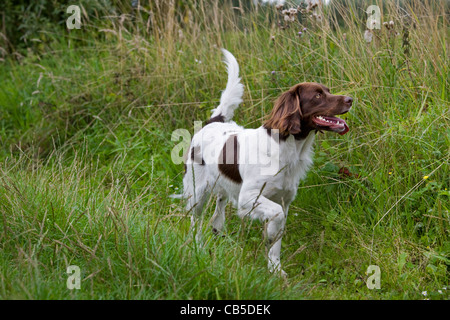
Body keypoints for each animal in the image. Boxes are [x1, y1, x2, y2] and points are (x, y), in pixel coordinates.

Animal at [179, 49, 352, 276]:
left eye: (328, 91)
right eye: (317, 95)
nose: (350, 99)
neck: (287, 148)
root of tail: (213, 121)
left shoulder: (284, 201)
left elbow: (277, 238)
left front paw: (275, 269)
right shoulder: (248, 198)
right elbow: (275, 221)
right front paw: (269, 236)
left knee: (218, 207)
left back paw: (216, 227)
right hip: (198, 192)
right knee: (195, 221)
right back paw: (196, 247)